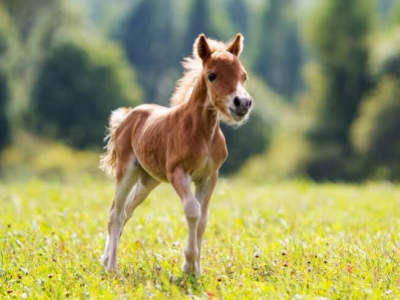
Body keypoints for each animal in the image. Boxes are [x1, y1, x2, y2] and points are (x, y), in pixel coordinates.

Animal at [101, 33, 255, 276]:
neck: (202, 132)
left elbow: (202, 219)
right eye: (212, 75)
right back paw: (112, 267)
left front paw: (196, 270)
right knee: (115, 215)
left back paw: (105, 259)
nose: (242, 103)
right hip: (126, 171)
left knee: (126, 211)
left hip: (148, 181)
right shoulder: (178, 173)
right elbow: (192, 211)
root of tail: (128, 115)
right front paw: (188, 264)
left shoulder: (209, 177)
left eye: (244, 75)